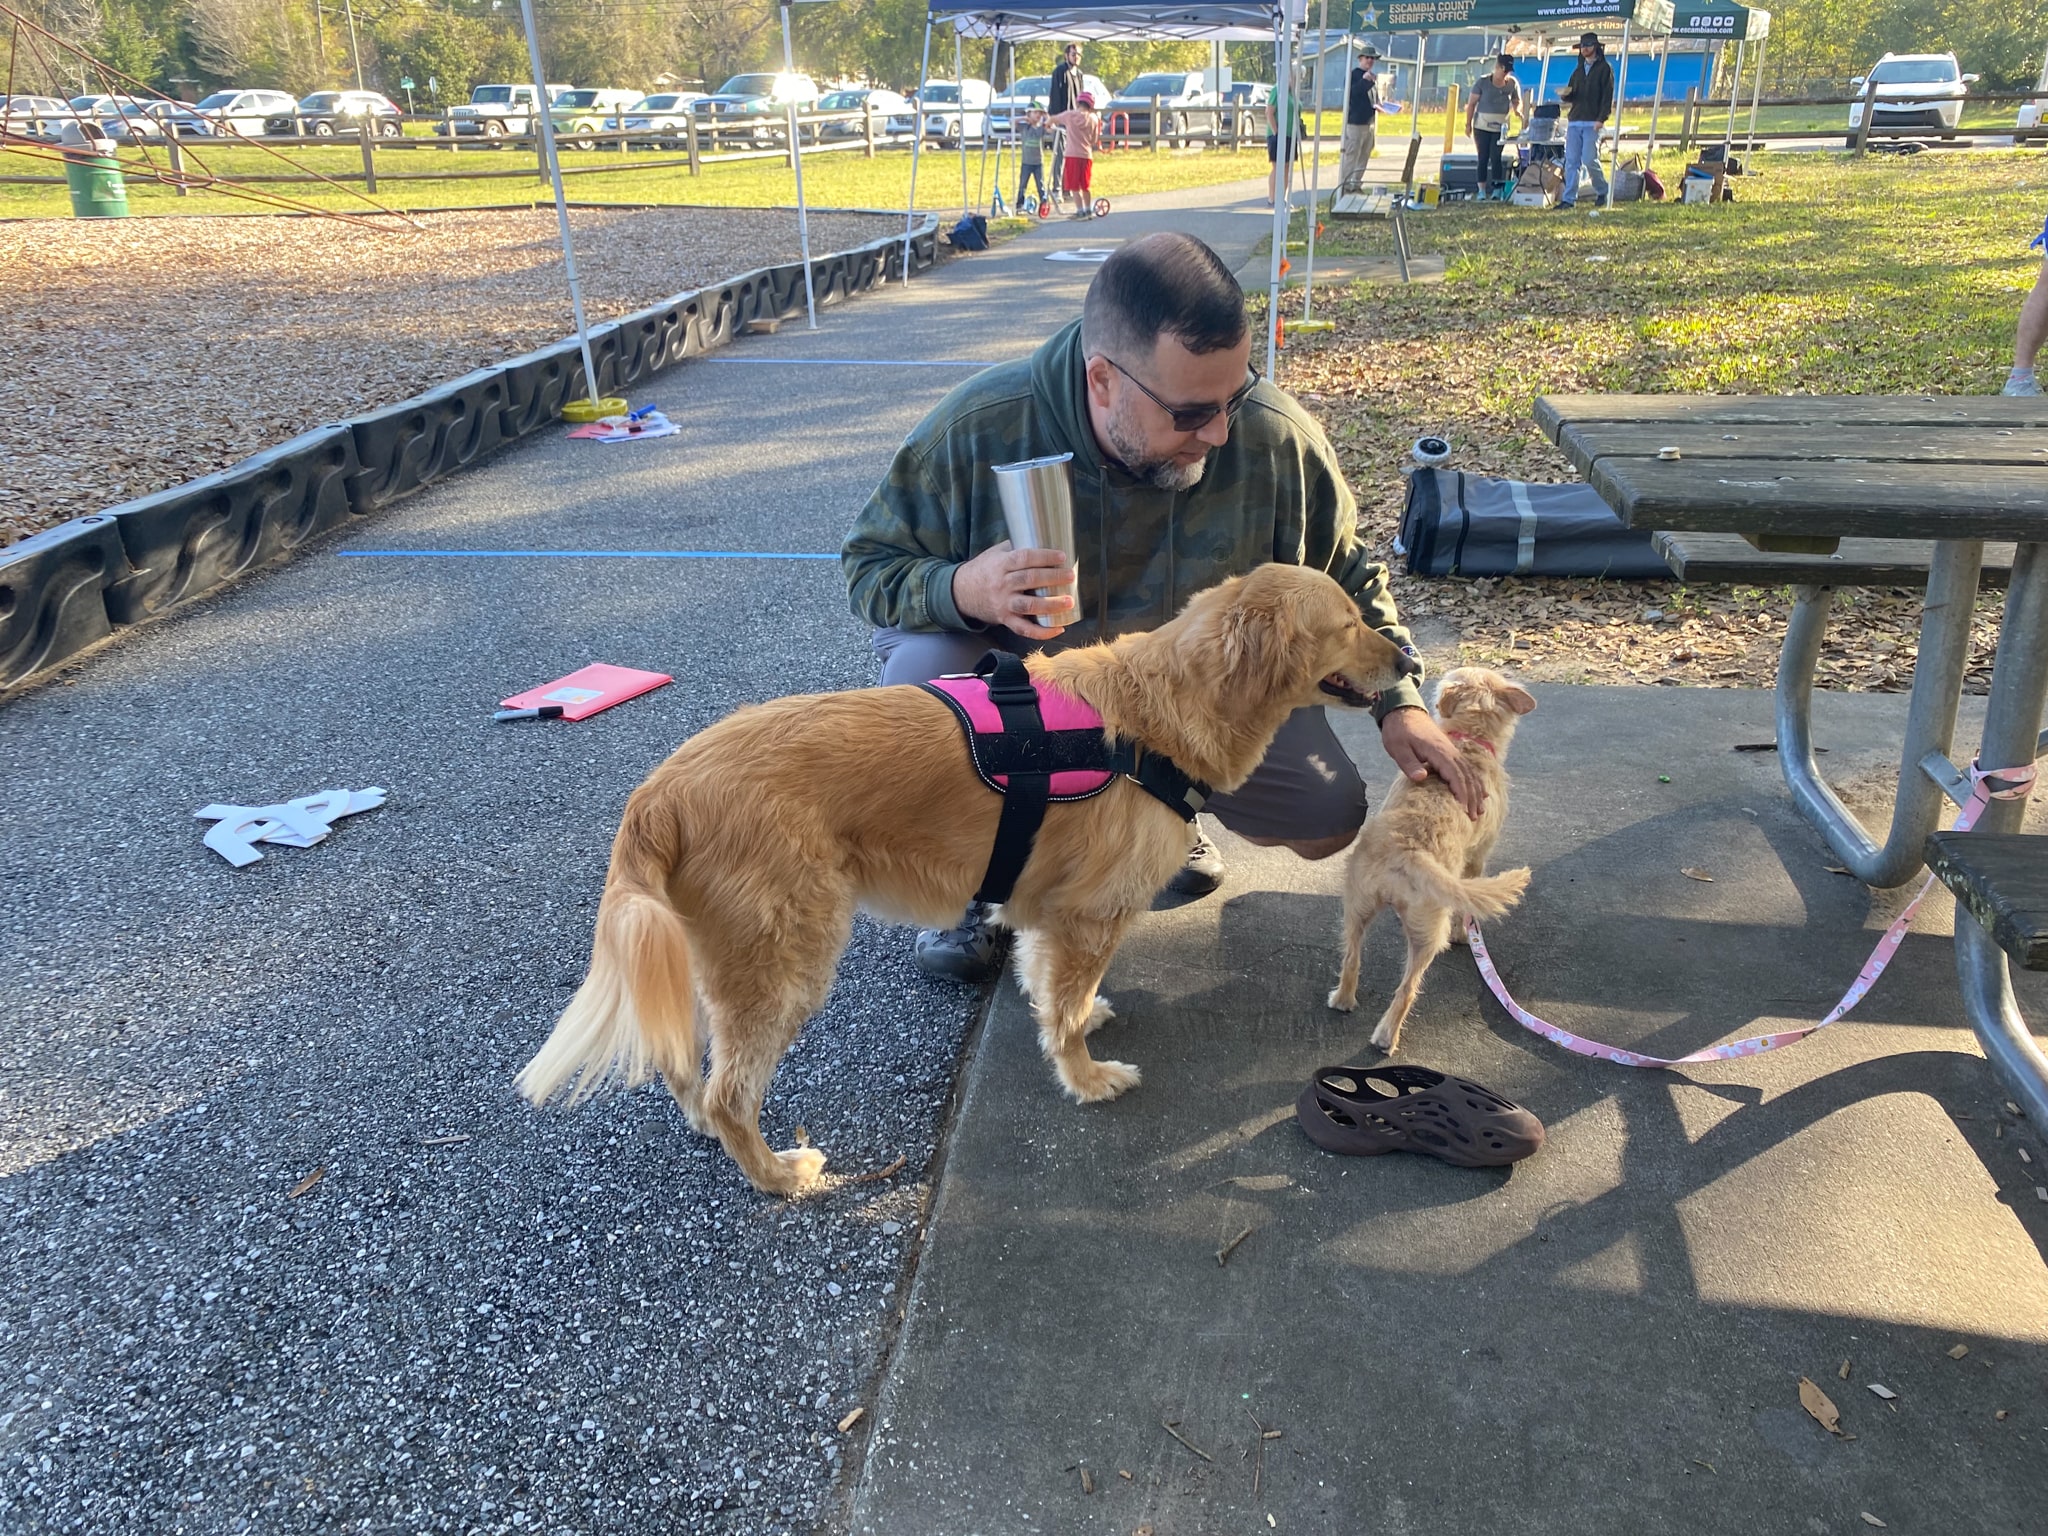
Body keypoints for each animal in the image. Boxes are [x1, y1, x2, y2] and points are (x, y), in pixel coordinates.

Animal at [512, 569, 1417, 1204]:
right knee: (734, 1090)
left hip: (719, 957)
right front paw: (1087, 1079)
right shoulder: (1089, 917)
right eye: (1347, 623)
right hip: (784, 961)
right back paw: (777, 1173)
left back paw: (708, 1125)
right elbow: (1063, 1016)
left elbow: (1054, 992)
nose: (1409, 658)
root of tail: (660, 791)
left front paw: (1082, 1021)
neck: (1160, 706)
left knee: (690, 1068)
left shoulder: (1050, 915)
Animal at [1327, 671, 1540, 1056]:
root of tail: (1409, 850)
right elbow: (1467, 909)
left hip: (1357, 904)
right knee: (1408, 988)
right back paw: (1386, 1037)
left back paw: (1343, 1000)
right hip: (1428, 934)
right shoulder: (1476, 859)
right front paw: (1465, 935)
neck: (1469, 739)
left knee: (1352, 957)